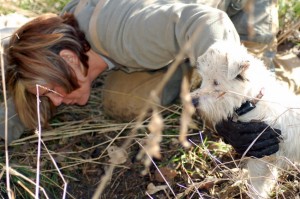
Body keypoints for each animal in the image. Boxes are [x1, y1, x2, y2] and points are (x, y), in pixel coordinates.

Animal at [191, 41, 300, 198]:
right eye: (203, 79)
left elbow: (257, 187)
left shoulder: (260, 160)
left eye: (216, 83)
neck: (252, 102)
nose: (192, 102)